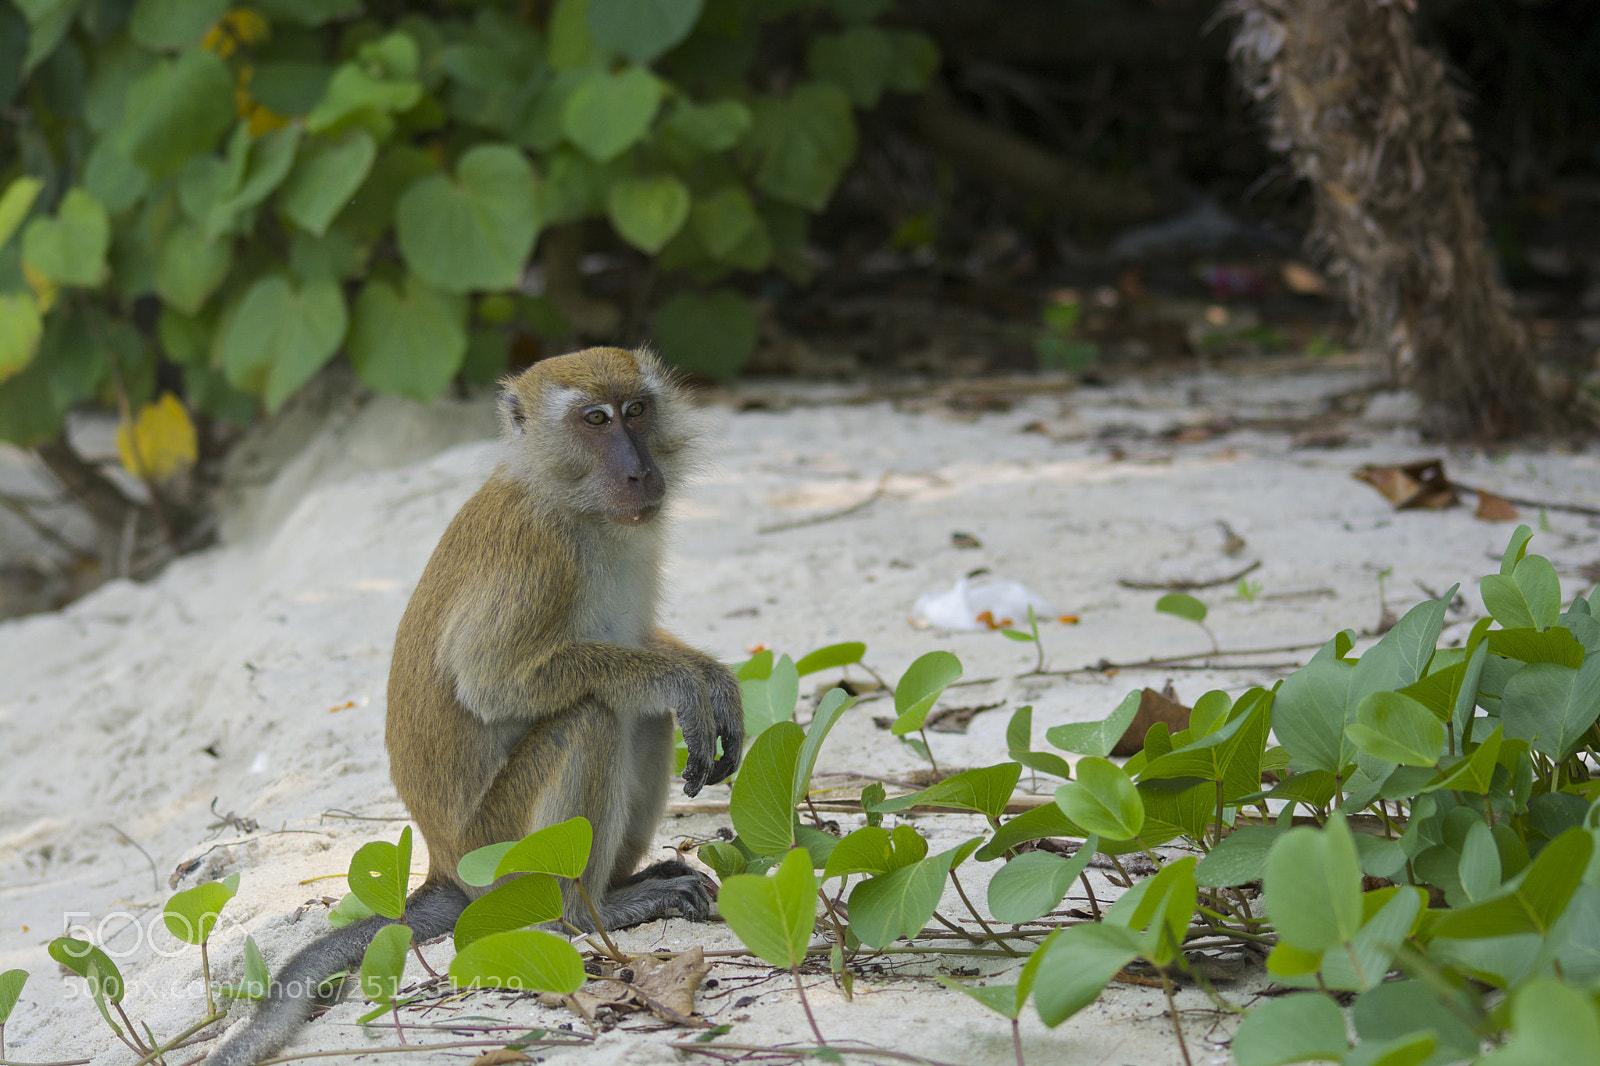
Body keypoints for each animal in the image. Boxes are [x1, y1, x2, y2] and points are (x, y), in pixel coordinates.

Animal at [208, 347, 744, 1065]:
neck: (571, 503)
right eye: (595, 420)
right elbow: (493, 683)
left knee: (642, 715)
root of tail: (445, 869)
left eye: (636, 410)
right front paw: (682, 677)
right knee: (593, 717)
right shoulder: (536, 560)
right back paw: (588, 912)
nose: (639, 469)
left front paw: (711, 678)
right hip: (500, 850)